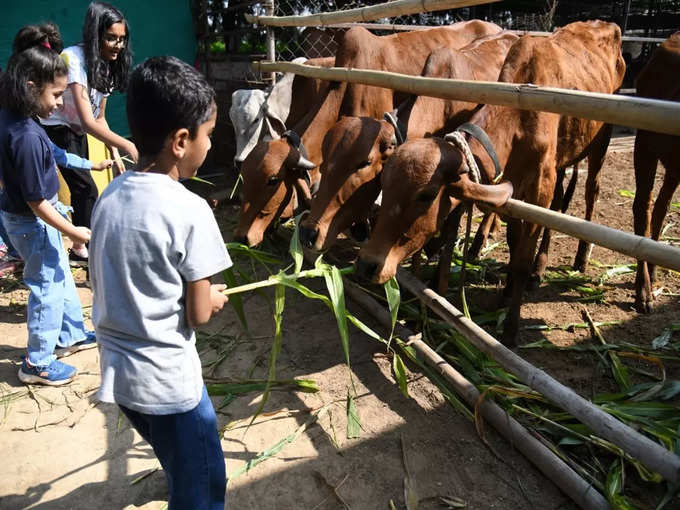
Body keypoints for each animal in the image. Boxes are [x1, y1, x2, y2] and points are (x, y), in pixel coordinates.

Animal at [358, 19, 624, 346]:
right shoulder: (517, 186)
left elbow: (521, 257)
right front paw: (504, 292)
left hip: (601, 142)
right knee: (561, 201)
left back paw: (576, 258)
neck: (520, 117)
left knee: (589, 193)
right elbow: (511, 240)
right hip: (564, 162)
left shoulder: (540, 187)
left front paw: (510, 327)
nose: (367, 263)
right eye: (385, 182)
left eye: (426, 194)